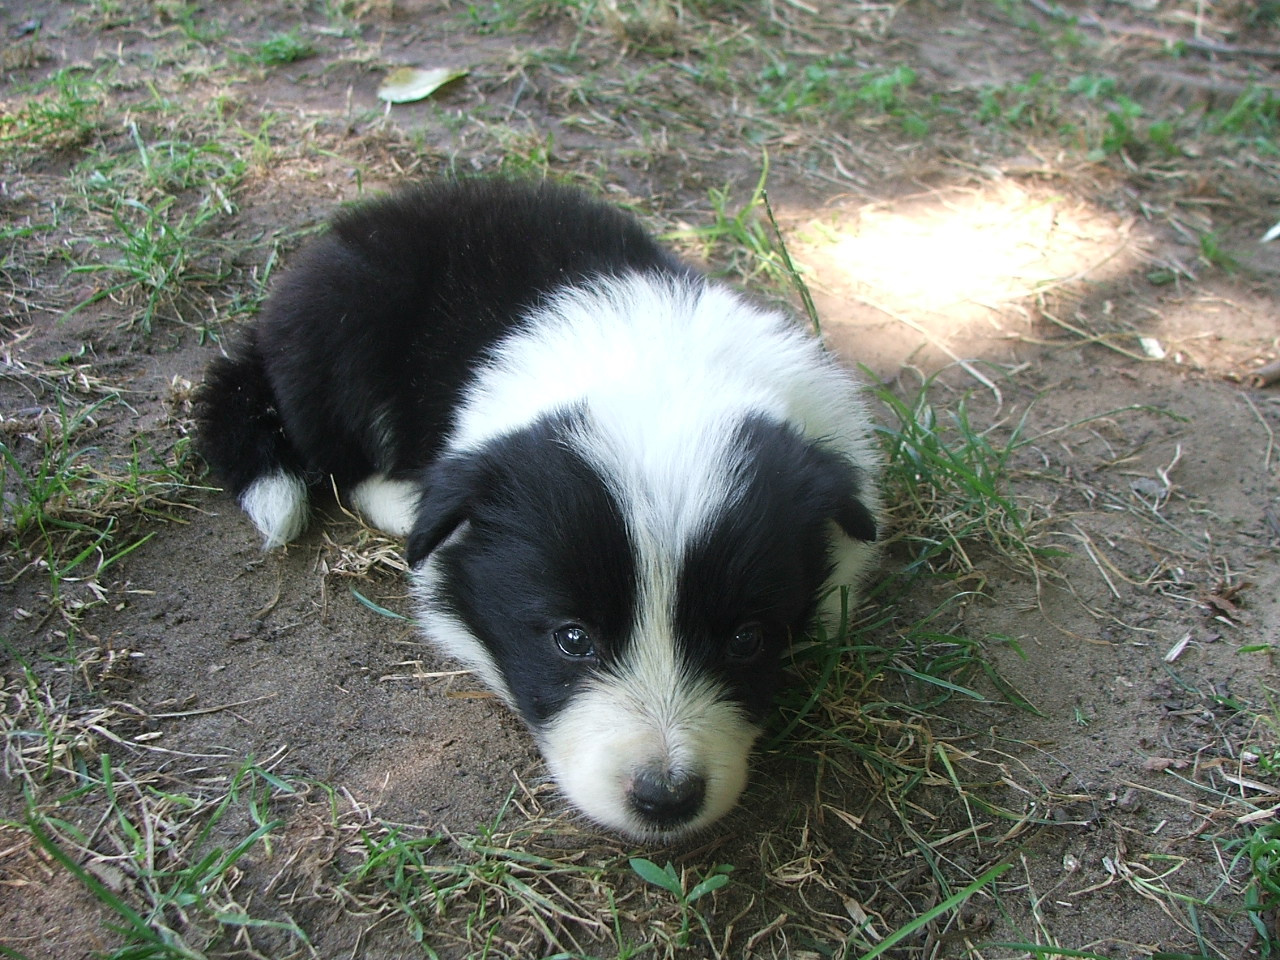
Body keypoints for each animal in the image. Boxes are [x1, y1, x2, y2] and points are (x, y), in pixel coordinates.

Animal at [197, 180, 880, 839]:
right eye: (571, 639)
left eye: (746, 639)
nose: (665, 799)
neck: (657, 369)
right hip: (344, 320)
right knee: (338, 454)